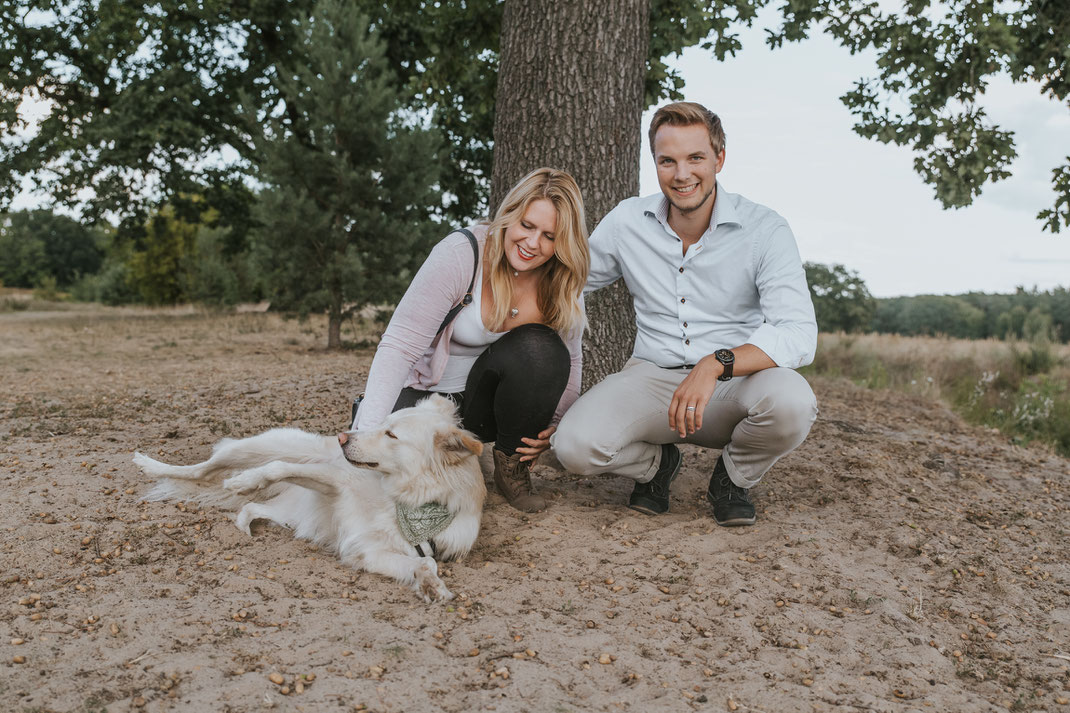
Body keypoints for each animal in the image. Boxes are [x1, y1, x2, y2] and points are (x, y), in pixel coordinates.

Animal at [131, 393, 487, 599]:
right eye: (384, 423)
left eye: (391, 434)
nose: (342, 438)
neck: (401, 499)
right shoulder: (334, 479)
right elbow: (277, 468)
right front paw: (248, 480)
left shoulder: (370, 551)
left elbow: (426, 562)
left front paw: (431, 586)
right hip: (250, 450)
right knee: (203, 470)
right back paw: (150, 464)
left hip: (289, 513)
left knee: (251, 506)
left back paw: (244, 529)